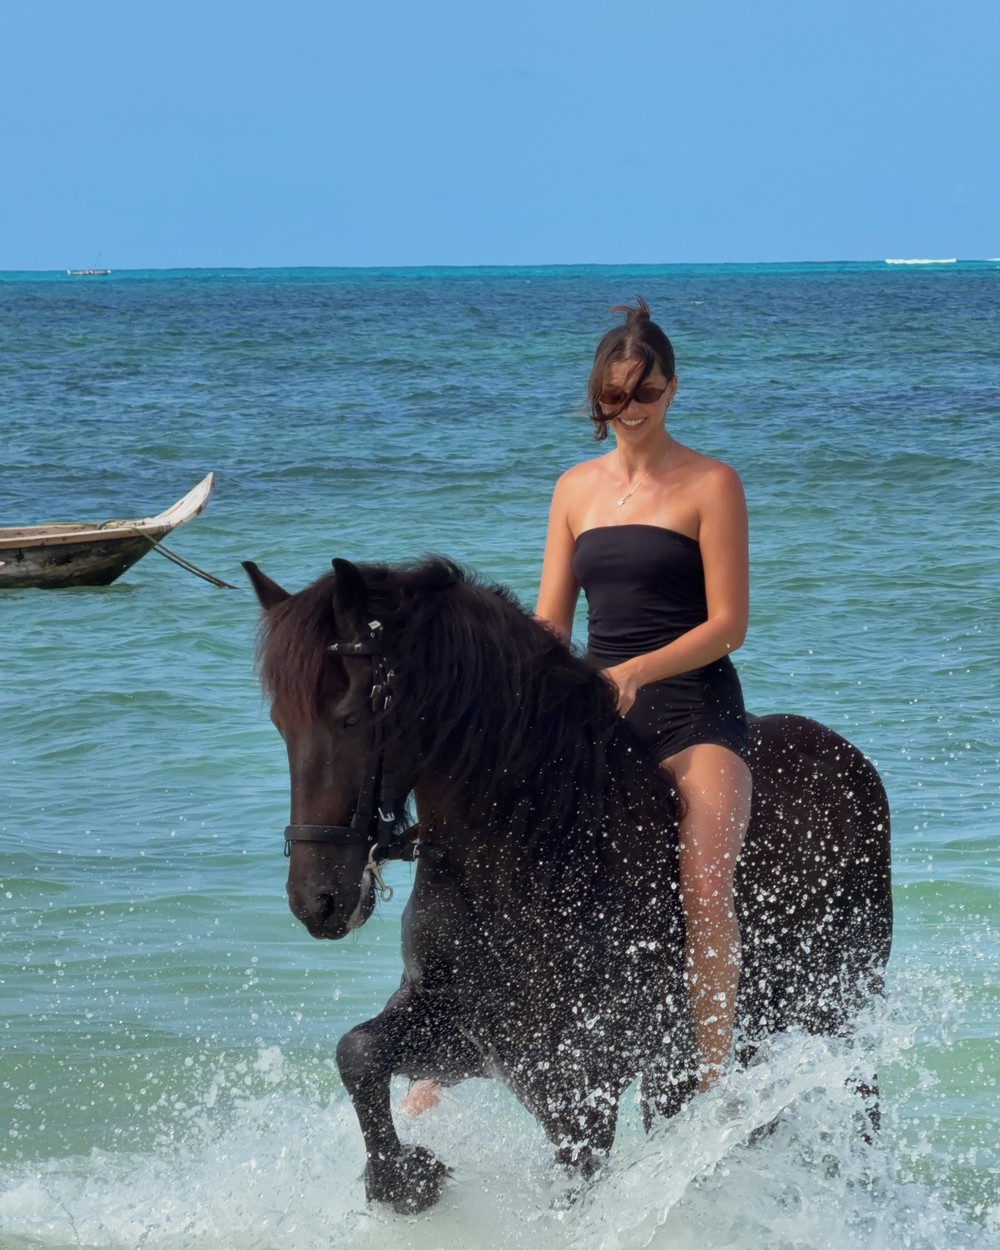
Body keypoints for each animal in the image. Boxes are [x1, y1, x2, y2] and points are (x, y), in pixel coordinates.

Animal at [244, 554, 892, 1214]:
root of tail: (851, 760)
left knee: (855, 1104)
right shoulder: (464, 1037)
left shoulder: (577, 1091)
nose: (316, 902)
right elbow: (357, 1052)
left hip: (833, 1006)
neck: (536, 854)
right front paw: (405, 1181)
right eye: (280, 724)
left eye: (349, 718)